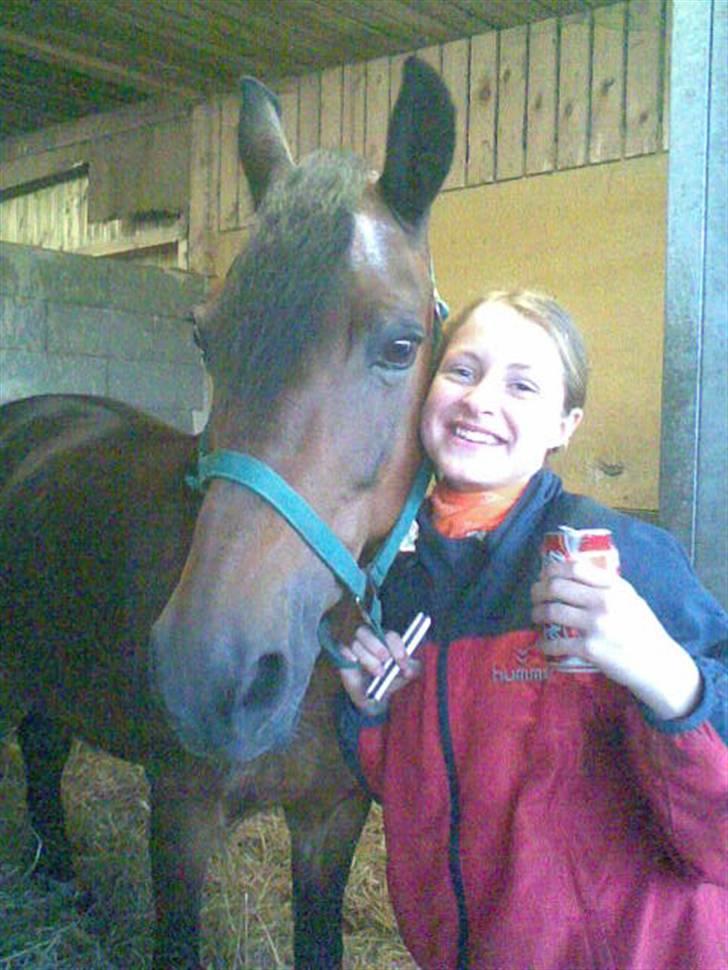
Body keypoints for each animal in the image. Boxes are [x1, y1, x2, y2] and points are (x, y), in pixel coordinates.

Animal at [0, 56, 454, 968]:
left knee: (44, 745)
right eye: (203, 336)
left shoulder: (331, 819)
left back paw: (61, 873)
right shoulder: (182, 820)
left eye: (400, 346)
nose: (209, 670)